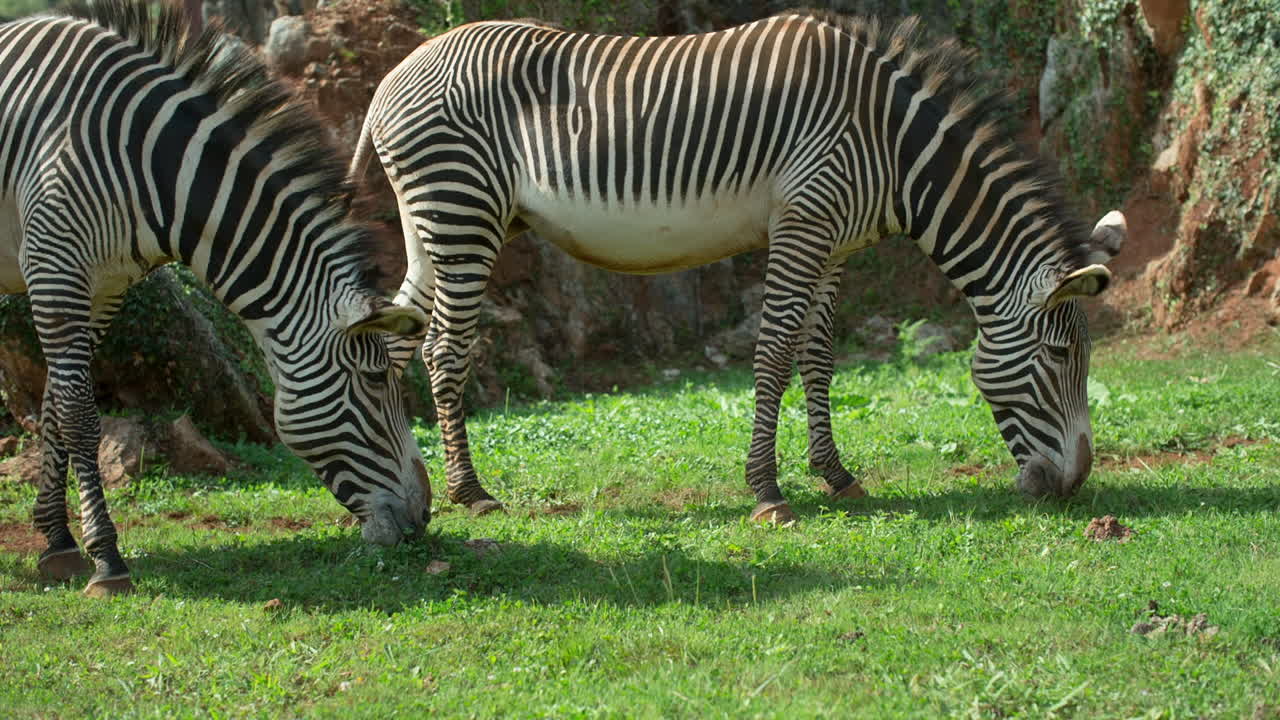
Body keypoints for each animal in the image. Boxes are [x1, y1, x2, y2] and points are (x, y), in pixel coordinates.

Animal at [1, 1, 433, 596]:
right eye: (374, 380)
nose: (424, 516)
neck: (152, 169)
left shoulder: (103, 287)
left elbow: (52, 408)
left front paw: (57, 541)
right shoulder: (54, 269)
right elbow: (78, 415)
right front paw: (106, 558)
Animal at [350, 12, 1127, 523]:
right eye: (1062, 355)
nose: (1074, 485)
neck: (891, 143)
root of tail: (394, 74)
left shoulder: (836, 243)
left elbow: (819, 359)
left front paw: (835, 475)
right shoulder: (803, 224)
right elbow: (775, 353)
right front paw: (767, 491)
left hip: (431, 223)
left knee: (397, 339)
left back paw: (412, 482)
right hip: (462, 212)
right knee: (445, 349)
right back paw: (470, 492)